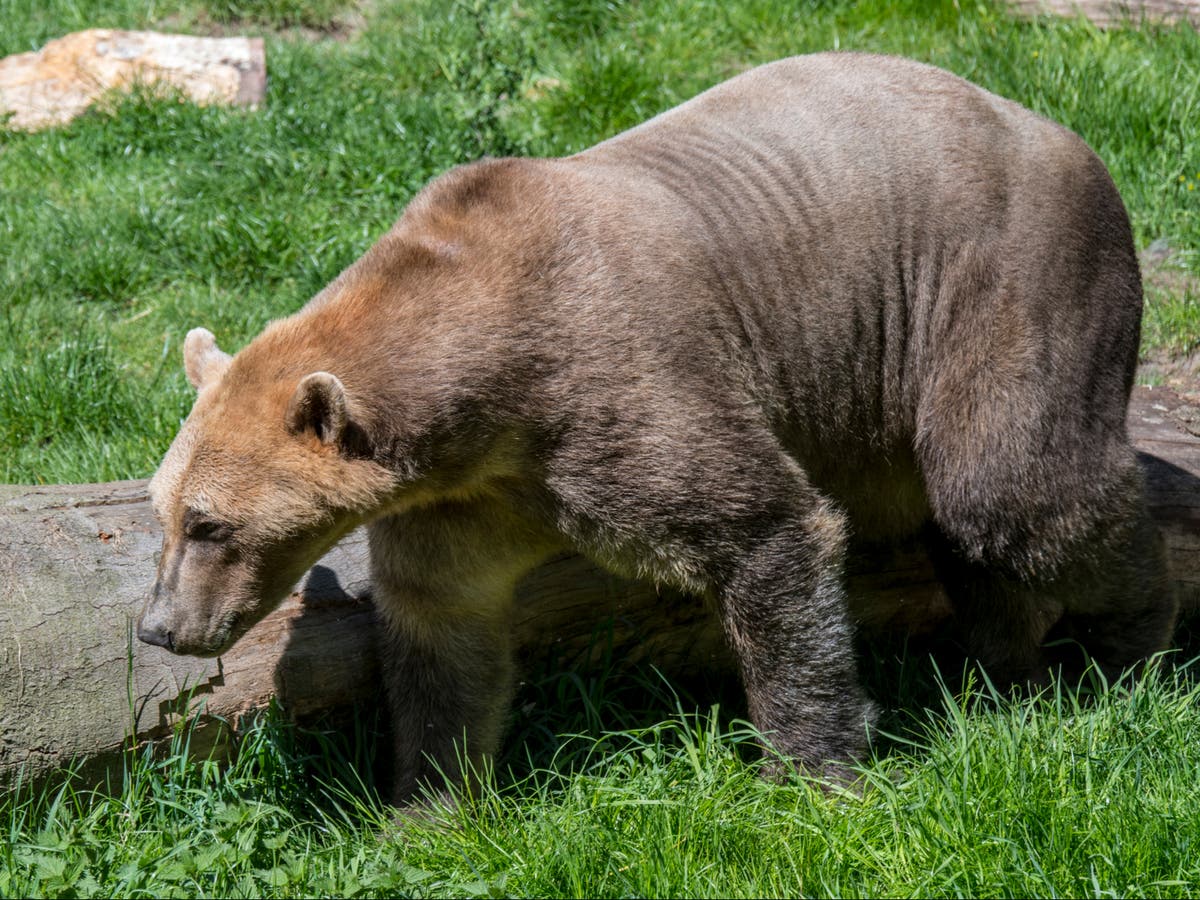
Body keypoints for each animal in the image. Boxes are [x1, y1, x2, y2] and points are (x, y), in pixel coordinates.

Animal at [133, 52, 1171, 806]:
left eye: (212, 525)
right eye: (163, 513)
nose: (160, 627)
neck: (489, 388)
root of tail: (1059, 130)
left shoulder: (617, 391)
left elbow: (766, 530)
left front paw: (810, 773)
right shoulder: (467, 496)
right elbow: (442, 630)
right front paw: (427, 802)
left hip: (1004, 281)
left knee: (1015, 491)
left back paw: (1132, 645)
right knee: (973, 533)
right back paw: (1005, 661)